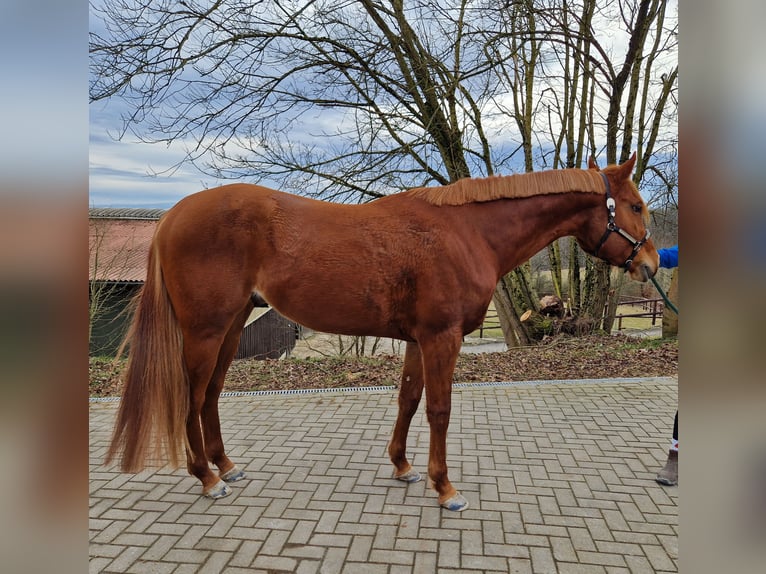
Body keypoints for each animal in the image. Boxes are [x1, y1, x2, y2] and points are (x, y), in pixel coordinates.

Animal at [106, 154, 660, 512]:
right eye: (634, 206)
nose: (652, 265)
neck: (468, 234)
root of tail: (172, 217)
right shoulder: (442, 337)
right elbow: (439, 410)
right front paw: (445, 488)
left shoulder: (418, 339)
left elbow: (409, 401)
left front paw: (402, 466)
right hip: (206, 328)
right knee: (191, 396)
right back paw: (206, 478)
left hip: (231, 325)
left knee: (212, 394)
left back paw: (226, 466)